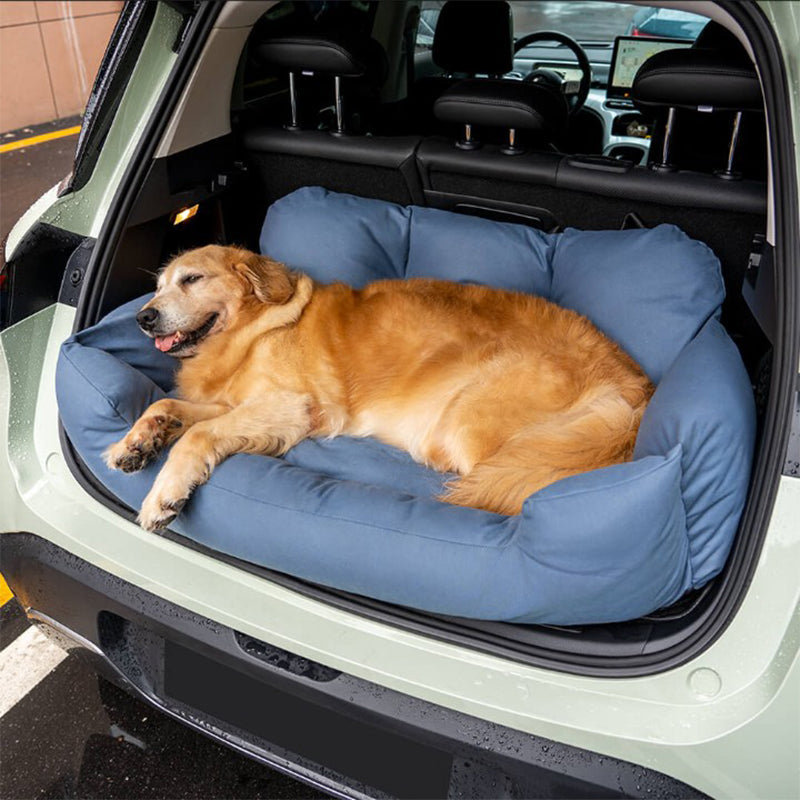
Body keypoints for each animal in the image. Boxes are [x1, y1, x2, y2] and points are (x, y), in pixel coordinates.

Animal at [106, 244, 652, 532]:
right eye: (158, 286)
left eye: (192, 280)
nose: (142, 317)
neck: (253, 329)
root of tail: (633, 389)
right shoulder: (230, 401)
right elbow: (168, 404)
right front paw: (137, 441)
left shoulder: (289, 405)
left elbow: (199, 436)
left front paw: (164, 495)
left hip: (469, 422)